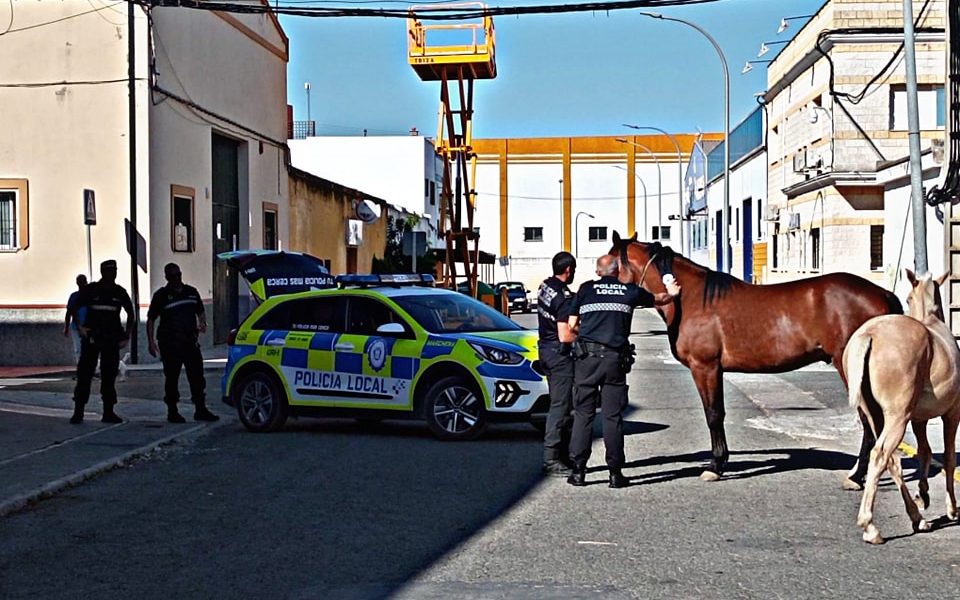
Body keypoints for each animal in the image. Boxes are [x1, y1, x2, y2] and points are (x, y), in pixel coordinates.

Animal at [610, 232, 903, 482]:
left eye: (609, 261)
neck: (690, 298)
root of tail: (882, 293)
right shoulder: (712, 369)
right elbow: (716, 412)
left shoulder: (705, 367)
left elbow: (713, 414)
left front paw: (715, 466)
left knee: (870, 418)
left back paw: (857, 476)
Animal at [842, 270, 960, 544]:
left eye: (907, 298)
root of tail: (869, 335)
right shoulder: (952, 413)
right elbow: (949, 458)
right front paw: (951, 508)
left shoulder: (918, 419)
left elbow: (925, 451)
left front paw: (924, 495)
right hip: (897, 418)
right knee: (880, 455)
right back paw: (870, 526)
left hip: (878, 417)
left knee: (891, 460)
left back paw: (918, 518)